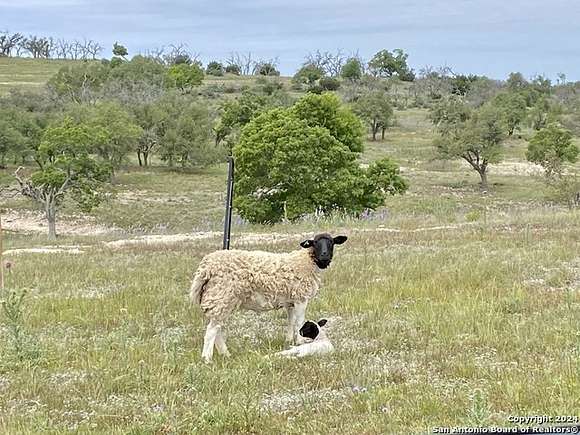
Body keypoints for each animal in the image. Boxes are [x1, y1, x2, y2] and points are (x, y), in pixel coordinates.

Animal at [189, 233, 348, 362]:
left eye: (331, 242)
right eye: (315, 243)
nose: (324, 256)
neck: (307, 261)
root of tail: (205, 268)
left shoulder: (290, 301)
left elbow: (290, 322)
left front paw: (288, 341)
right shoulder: (301, 298)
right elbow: (299, 322)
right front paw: (300, 341)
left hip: (220, 300)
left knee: (217, 328)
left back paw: (225, 354)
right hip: (222, 296)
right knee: (212, 330)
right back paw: (207, 358)